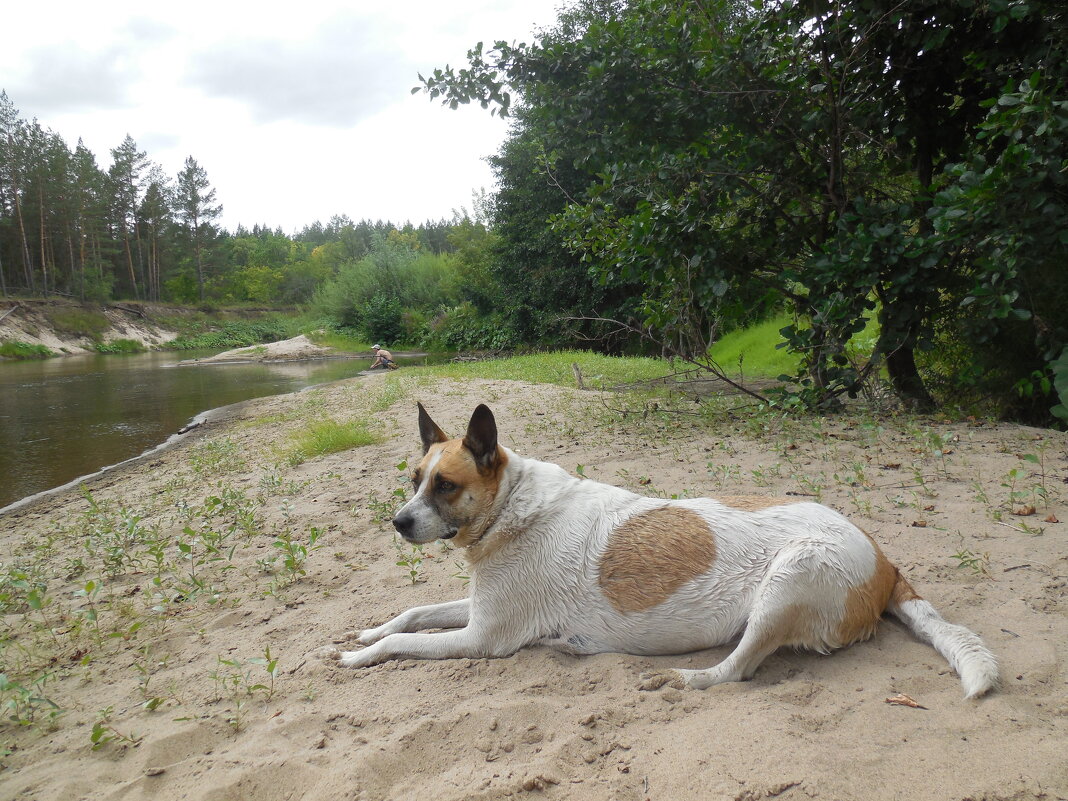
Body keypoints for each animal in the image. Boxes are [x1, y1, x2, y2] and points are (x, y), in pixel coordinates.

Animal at [326, 403, 999, 700]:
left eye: (445, 486)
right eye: (414, 479)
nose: (397, 522)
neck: (512, 505)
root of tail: (885, 561)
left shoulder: (483, 638)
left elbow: (403, 645)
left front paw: (360, 657)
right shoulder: (475, 610)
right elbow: (410, 615)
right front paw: (368, 631)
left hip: (790, 580)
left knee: (736, 670)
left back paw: (679, 677)